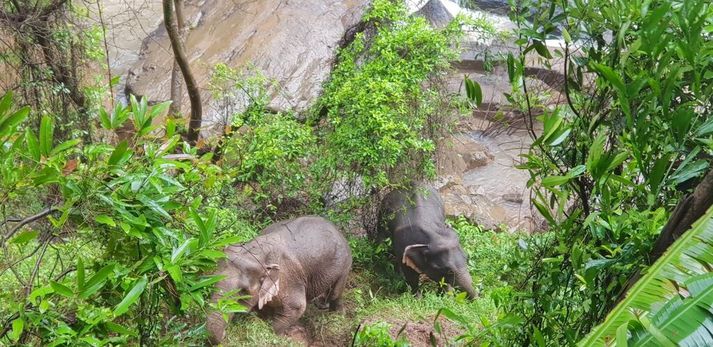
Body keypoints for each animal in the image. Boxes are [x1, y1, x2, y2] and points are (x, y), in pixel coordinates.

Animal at [204, 218, 352, 346]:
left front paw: (278, 336)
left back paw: (337, 315)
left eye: (242, 291)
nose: (225, 334)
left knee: (335, 293)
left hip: (345, 264)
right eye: (212, 282)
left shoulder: (288, 279)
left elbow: (297, 307)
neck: (256, 253)